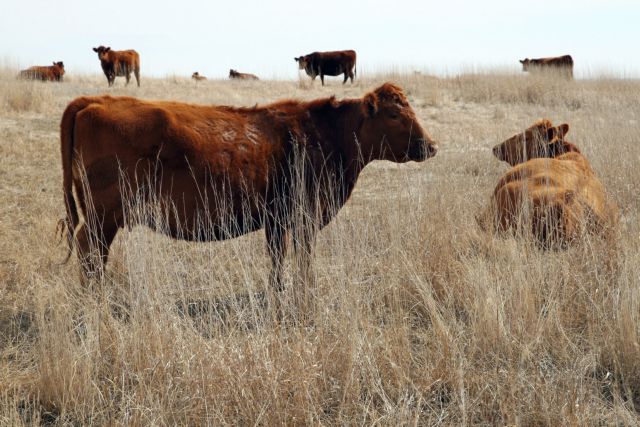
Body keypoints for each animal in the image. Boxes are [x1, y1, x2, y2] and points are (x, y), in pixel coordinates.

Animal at [58, 83, 440, 290]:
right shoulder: (302, 219)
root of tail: (94, 100)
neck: (324, 133)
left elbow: (277, 260)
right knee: (91, 251)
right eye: (394, 115)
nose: (431, 145)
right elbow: (301, 260)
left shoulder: (276, 223)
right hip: (103, 216)